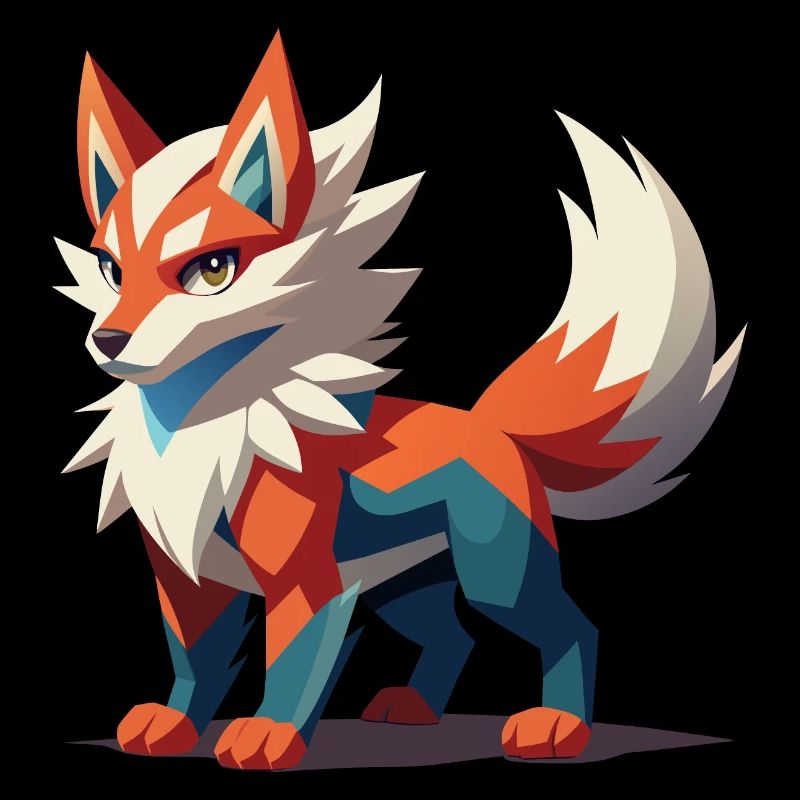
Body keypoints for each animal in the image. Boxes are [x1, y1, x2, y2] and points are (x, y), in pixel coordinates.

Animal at [57, 33, 746, 769]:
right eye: (110, 271)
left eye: (211, 272)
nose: (109, 338)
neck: (195, 430)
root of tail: (487, 427)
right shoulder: (189, 582)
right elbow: (197, 662)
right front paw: (178, 724)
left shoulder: (307, 582)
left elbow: (292, 660)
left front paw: (271, 733)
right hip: (401, 586)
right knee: (455, 635)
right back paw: (415, 708)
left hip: (493, 573)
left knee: (570, 626)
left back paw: (558, 724)